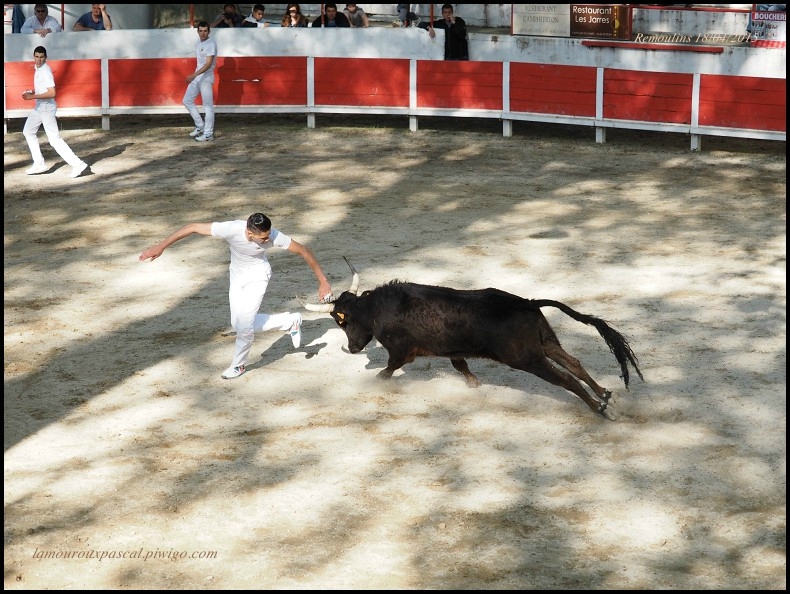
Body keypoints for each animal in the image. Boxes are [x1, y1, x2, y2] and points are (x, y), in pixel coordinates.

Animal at [306, 256, 648, 418]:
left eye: (342, 323)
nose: (351, 349)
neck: (377, 308)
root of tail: (527, 302)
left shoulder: (401, 351)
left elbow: (390, 368)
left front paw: (377, 380)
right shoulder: (452, 349)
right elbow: (461, 366)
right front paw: (474, 384)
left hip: (527, 358)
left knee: (566, 379)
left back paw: (600, 408)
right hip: (546, 342)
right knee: (573, 362)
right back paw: (605, 394)